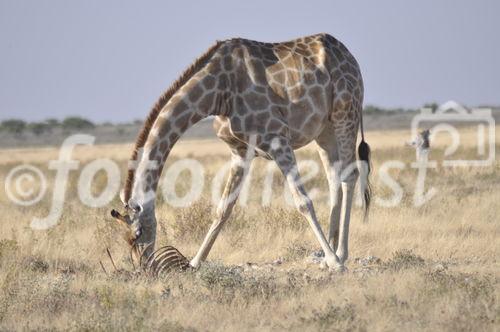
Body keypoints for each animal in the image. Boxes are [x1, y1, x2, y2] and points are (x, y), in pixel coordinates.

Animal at [110, 33, 372, 272]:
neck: (217, 94)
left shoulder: (277, 139)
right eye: (125, 239)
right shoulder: (240, 151)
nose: (144, 269)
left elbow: (303, 202)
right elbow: (223, 209)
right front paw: (194, 263)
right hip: (324, 130)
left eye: (137, 234)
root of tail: (350, 57)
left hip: (345, 112)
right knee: (333, 178)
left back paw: (339, 255)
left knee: (349, 176)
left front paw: (335, 263)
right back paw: (330, 252)